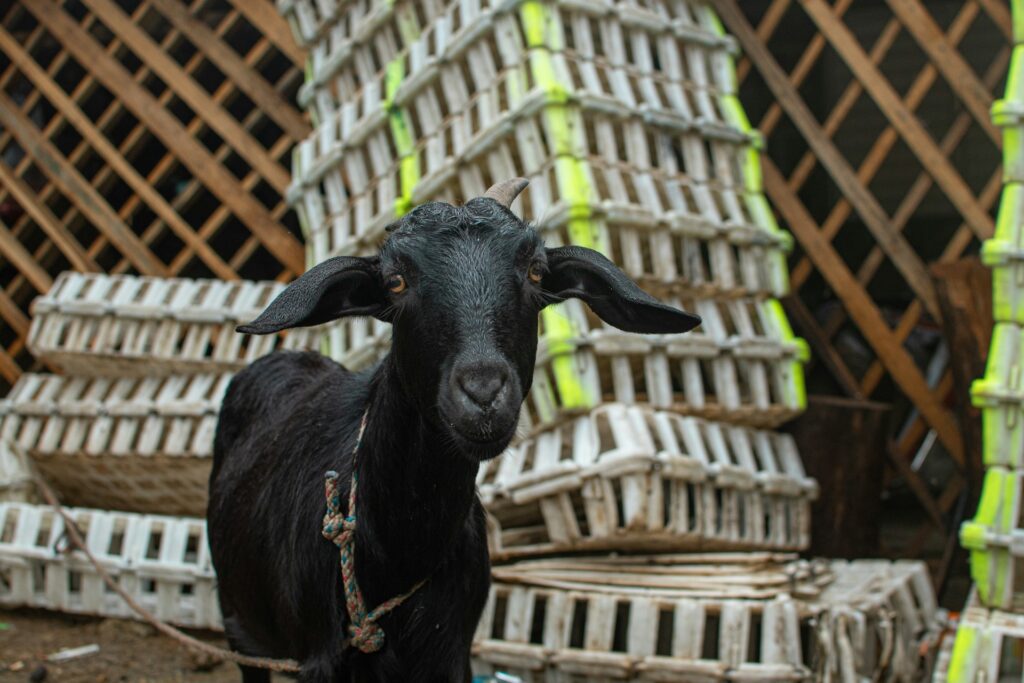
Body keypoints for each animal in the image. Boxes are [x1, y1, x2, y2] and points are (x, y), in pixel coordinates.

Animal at [207, 179, 704, 679]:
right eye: (395, 281)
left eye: (536, 272)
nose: (482, 392)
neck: (398, 552)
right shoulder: (316, 662)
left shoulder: (451, 657)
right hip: (238, 625)